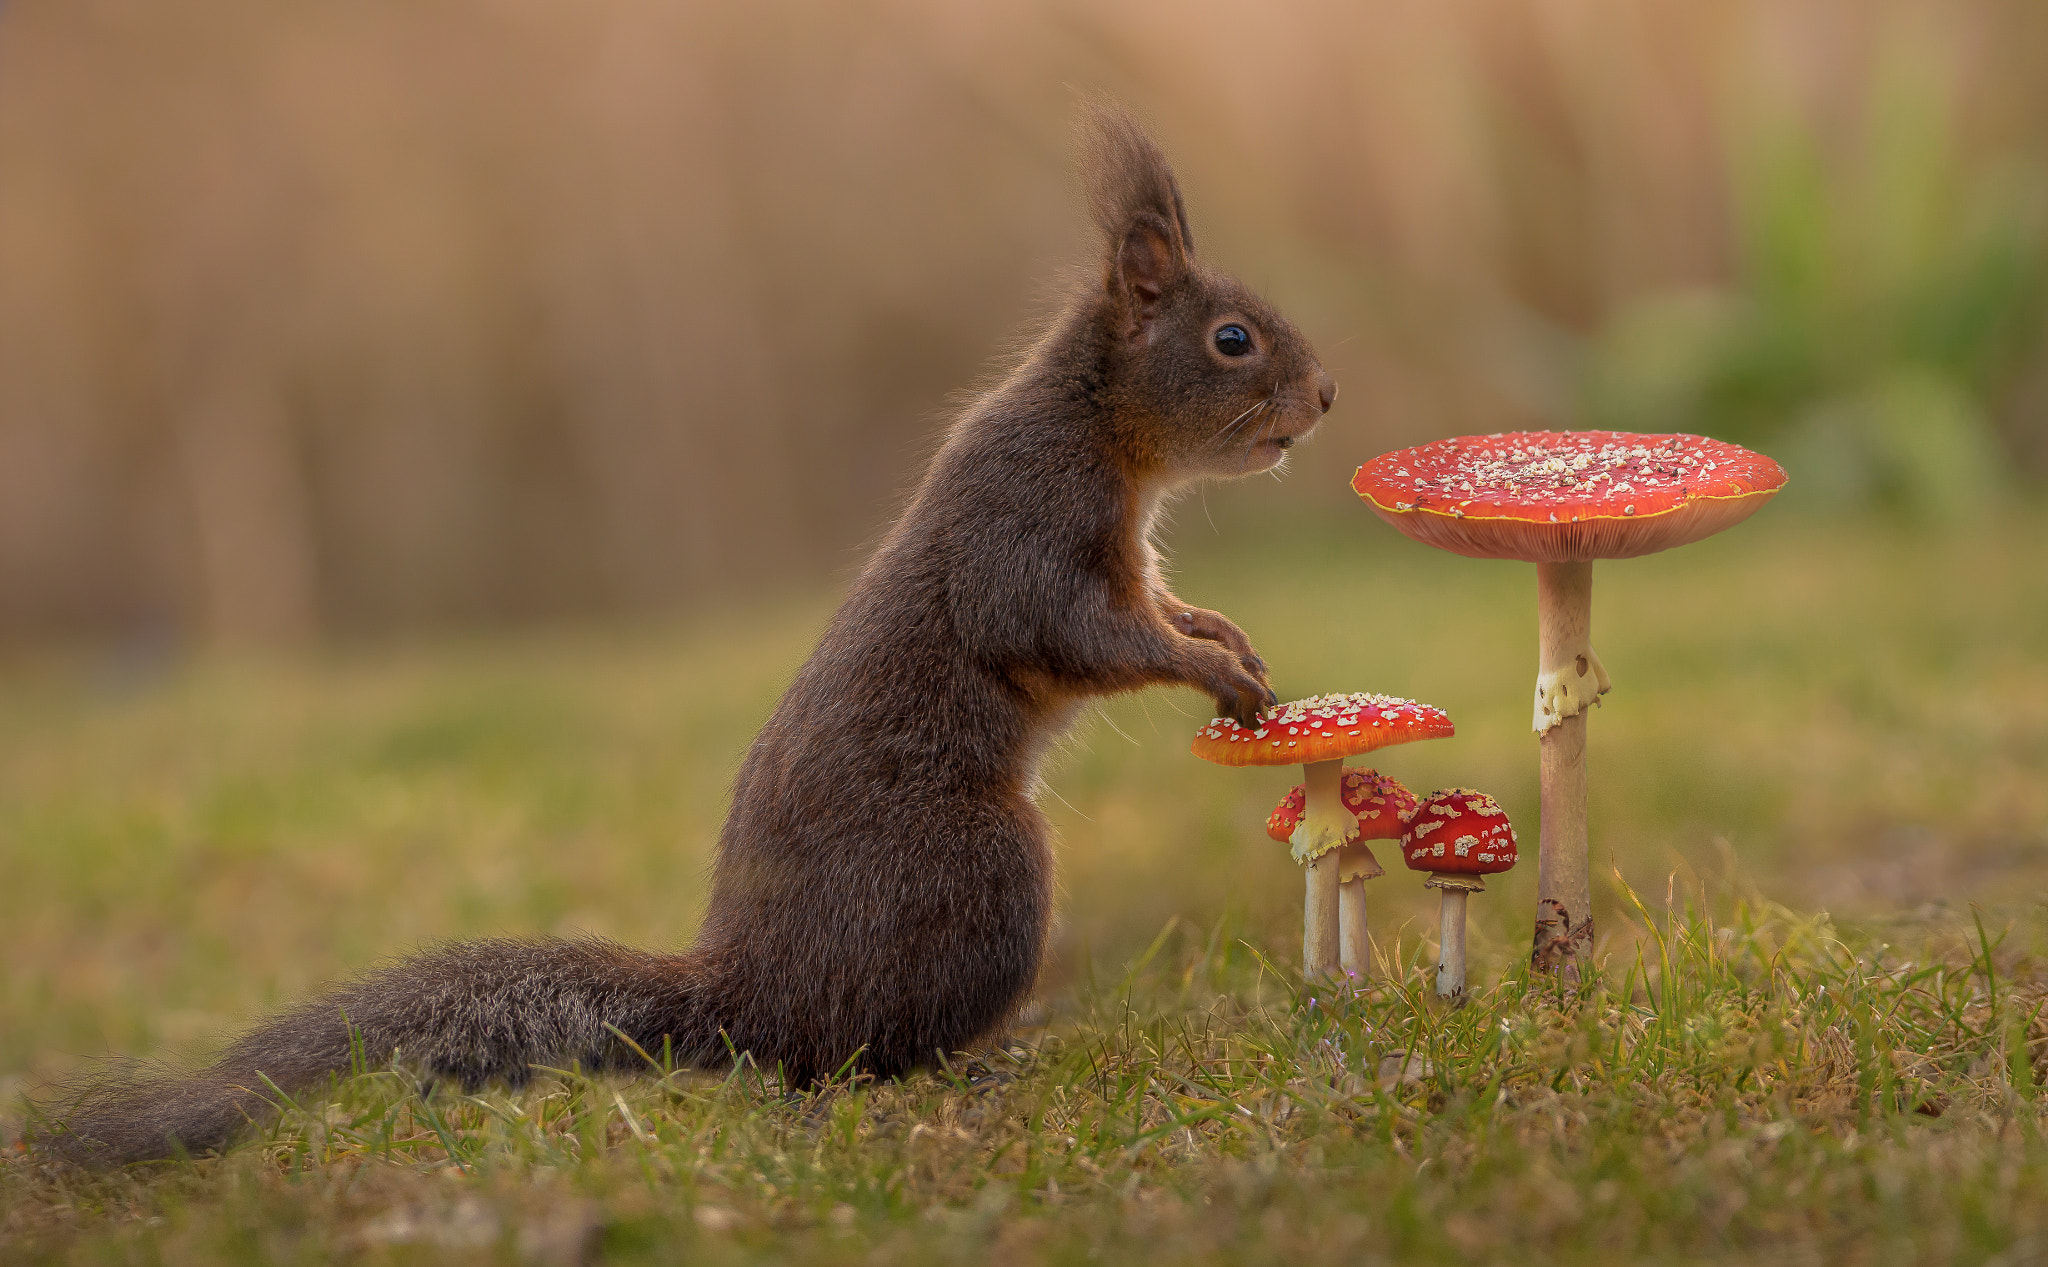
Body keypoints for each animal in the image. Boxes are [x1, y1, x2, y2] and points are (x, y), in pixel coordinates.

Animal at [42, 104, 1335, 1166]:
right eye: (1230, 339)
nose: (1324, 398)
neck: (1099, 426)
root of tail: (752, 995)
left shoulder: (1126, 557)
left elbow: (1158, 607)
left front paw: (1227, 638)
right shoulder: (1025, 529)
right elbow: (1080, 634)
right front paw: (1210, 669)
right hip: (980, 874)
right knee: (833, 1063)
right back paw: (957, 1066)